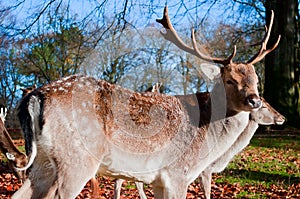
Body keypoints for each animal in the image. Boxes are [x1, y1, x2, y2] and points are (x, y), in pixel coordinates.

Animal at [11, 5, 278, 198]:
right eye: (230, 80)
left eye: (256, 80)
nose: (254, 100)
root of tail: (34, 97)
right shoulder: (177, 173)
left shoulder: (158, 181)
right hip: (77, 160)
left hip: (44, 161)